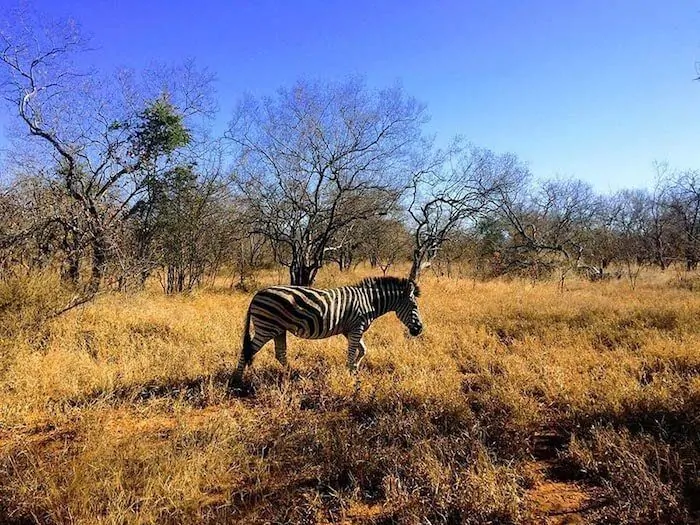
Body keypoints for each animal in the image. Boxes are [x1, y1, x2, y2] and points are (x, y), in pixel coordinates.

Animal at [232, 276, 424, 386]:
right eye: (415, 306)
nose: (420, 330)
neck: (369, 302)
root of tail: (256, 295)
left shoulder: (350, 330)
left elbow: (363, 350)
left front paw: (355, 368)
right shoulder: (357, 327)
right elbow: (352, 353)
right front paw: (352, 376)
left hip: (278, 329)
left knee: (280, 354)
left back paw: (292, 375)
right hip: (266, 328)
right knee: (248, 349)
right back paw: (237, 380)